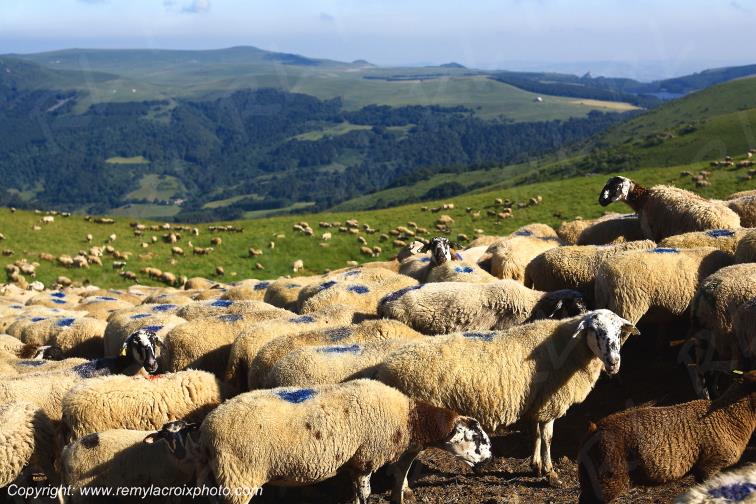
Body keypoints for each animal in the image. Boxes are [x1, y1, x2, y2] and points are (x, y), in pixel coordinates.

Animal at [61, 421, 202, 502]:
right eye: (165, 435)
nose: (180, 453)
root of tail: (66, 449)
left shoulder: (176, 486)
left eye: (186, 431)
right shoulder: (161, 484)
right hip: (80, 490)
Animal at [199, 379, 491, 504]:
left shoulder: (354, 461)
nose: (490, 459)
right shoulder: (367, 458)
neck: (408, 418)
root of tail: (206, 429)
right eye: (476, 437)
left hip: (218, 477)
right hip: (239, 476)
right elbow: (366, 493)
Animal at [376, 310, 639, 484]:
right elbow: (548, 437)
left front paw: (536, 466)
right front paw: (550, 472)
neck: (568, 346)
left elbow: (536, 434)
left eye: (619, 332)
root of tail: (386, 368)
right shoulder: (550, 402)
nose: (614, 362)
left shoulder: (536, 402)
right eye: (594, 330)